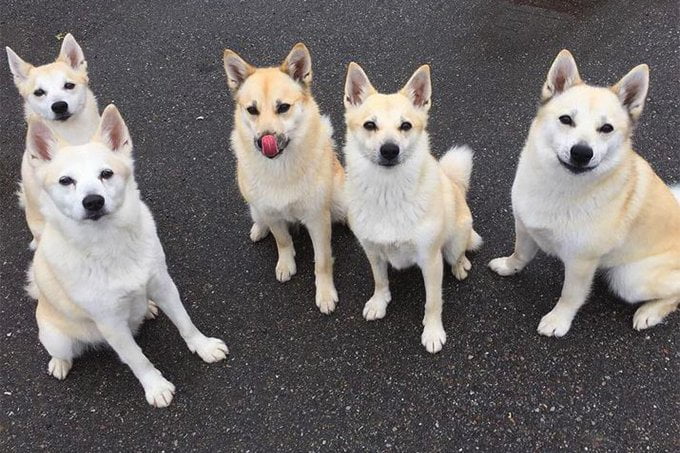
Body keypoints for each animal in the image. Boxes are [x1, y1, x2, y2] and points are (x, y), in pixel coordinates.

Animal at [223, 43, 346, 314]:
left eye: (283, 108)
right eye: (252, 110)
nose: (264, 140)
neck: (280, 168)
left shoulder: (317, 219)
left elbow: (322, 261)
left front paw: (325, 293)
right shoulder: (271, 212)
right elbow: (282, 240)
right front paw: (286, 264)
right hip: (256, 206)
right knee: (259, 217)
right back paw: (259, 229)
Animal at [342, 62, 480, 354]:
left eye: (405, 125)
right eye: (370, 125)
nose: (389, 150)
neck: (388, 192)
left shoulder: (431, 260)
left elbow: (433, 302)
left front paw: (433, 332)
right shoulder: (372, 250)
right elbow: (380, 280)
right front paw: (379, 302)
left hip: (454, 243)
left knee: (461, 252)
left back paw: (461, 265)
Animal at [488, 51, 680, 338]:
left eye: (607, 128)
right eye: (566, 119)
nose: (581, 152)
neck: (559, 188)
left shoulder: (581, 262)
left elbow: (570, 296)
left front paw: (558, 320)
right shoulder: (524, 227)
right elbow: (520, 254)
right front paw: (509, 267)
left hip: (629, 279)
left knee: (674, 295)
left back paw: (649, 313)